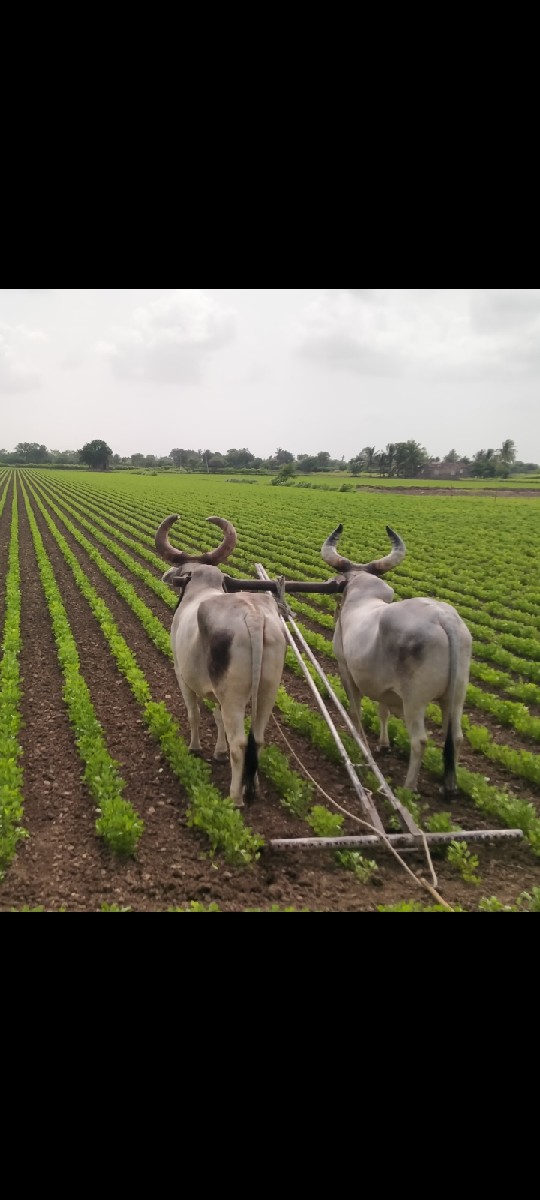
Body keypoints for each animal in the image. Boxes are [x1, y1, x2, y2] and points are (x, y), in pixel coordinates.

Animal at [155, 514, 286, 806]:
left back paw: (235, 798)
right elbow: (216, 718)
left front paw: (195, 748)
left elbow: (193, 714)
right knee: (257, 739)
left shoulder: (182, 676)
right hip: (267, 691)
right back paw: (253, 785)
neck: (200, 587)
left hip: (233, 694)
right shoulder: (216, 692)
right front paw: (218, 752)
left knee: (240, 741)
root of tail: (253, 616)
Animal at [321, 524, 472, 795]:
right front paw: (383, 744)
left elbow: (355, 712)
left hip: (415, 700)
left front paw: (360, 744)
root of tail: (444, 618)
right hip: (456, 697)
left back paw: (407, 789)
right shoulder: (384, 687)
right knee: (455, 736)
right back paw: (449, 786)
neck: (361, 596)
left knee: (419, 741)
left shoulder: (345, 670)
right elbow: (383, 713)